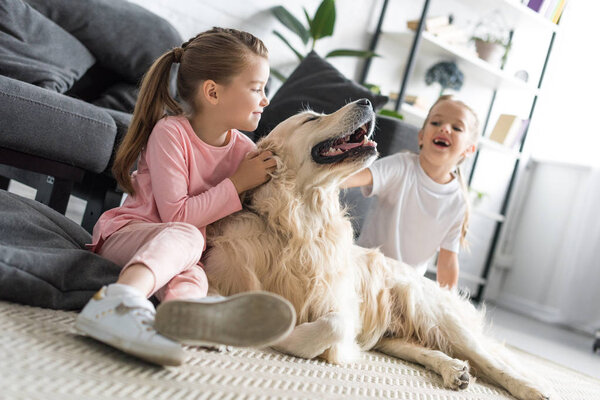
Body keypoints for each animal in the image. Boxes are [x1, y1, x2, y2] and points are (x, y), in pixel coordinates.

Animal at [205, 100, 548, 400]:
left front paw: (281, 332)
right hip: (395, 337)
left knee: (494, 363)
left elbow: (331, 326)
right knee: (427, 350)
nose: (367, 101)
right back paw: (453, 369)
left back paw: (534, 389)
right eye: (311, 119)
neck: (296, 223)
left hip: (438, 316)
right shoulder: (221, 272)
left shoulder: (340, 306)